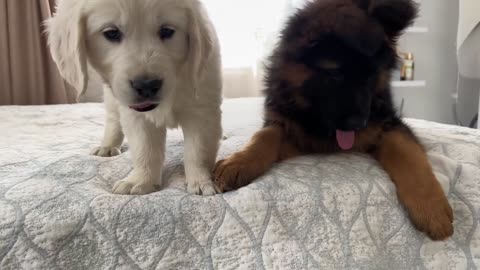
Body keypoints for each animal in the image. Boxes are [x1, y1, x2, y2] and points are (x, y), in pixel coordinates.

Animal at [47, 0, 223, 195]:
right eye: (111, 33)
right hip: (112, 98)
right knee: (113, 120)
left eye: (167, 31)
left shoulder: (202, 108)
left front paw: (201, 182)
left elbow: (198, 150)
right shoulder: (136, 115)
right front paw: (141, 180)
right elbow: (145, 148)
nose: (147, 86)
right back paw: (107, 146)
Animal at [214, 0, 454, 240]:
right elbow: (264, 135)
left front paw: (432, 209)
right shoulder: (292, 130)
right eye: (336, 74)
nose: (359, 124)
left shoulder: (388, 125)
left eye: (371, 76)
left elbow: (408, 153)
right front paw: (239, 162)